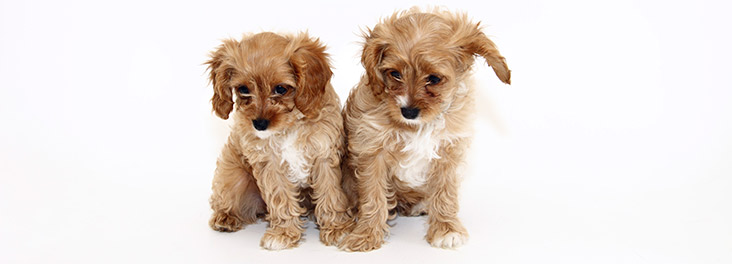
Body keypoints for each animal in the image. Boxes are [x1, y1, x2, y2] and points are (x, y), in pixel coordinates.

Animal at [204, 32, 354, 250]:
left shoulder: (324, 155)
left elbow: (330, 194)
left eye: (281, 89)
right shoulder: (269, 164)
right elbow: (280, 198)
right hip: (233, 178)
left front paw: (337, 229)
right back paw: (225, 218)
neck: (289, 127)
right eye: (243, 89)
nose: (259, 124)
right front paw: (283, 233)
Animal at [340, 7, 512, 252]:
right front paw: (366, 234)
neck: (418, 128)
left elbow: (445, 193)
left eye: (434, 78)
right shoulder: (372, 151)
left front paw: (446, 229)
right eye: (395, 74)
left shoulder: (448, 151)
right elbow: (373, 196)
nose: (408, 111)